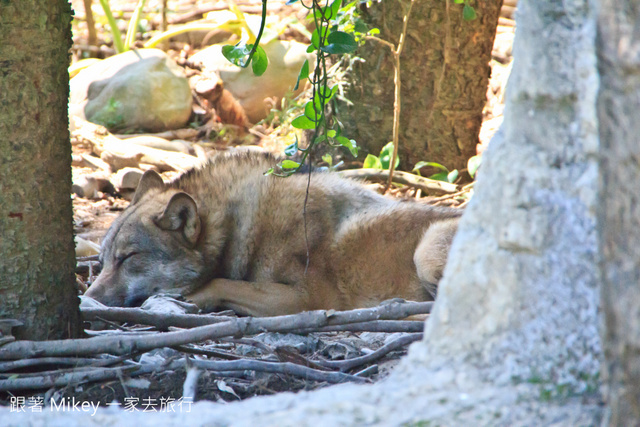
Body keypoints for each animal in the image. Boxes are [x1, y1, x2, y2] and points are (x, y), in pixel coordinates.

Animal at [85, 151, 462, 318]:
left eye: (128, 258)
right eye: (102, 261)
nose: (88, 298)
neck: (242, 227)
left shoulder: (308, 299)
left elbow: (218, 283)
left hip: (425, 254)